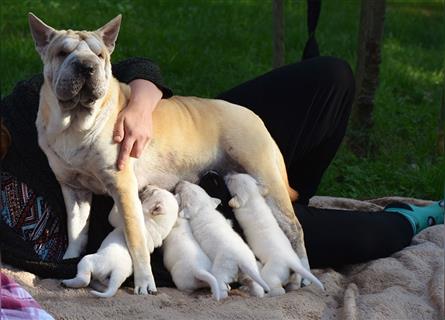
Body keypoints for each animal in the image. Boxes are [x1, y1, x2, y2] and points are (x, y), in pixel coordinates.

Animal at [26, 13, 306, 296]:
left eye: (100, 55)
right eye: (62, 53)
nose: (86, 66)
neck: (74, 123)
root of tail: (255, 118)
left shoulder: (123, 188)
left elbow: (135, 240)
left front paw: (144, 282)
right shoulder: (73, 189)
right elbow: (76, 232)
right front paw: (68, 260)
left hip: (267, 179)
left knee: (295, 229)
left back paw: (300, 277)